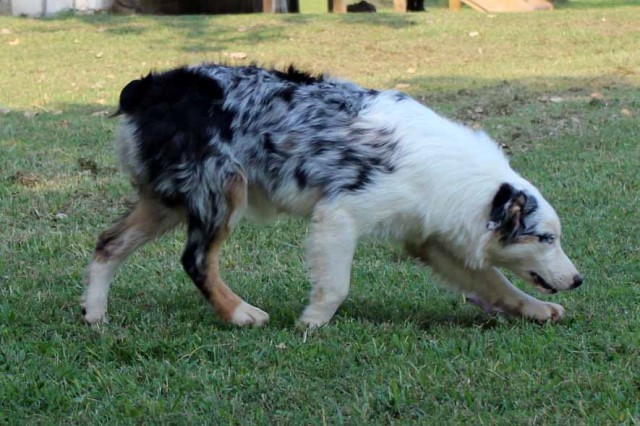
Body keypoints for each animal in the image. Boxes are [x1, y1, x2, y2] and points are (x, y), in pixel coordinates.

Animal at [82, 65, 584, 328]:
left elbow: (496, 284)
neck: (460, 176)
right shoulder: (340, 214)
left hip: (166, 202)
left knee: (108, 244)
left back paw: (95, 313)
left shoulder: (429, 239)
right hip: (222, 190)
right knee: (197, 260)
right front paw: (311, 322)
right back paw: (241, 313)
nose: (579, 280)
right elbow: (337, 284)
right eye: (545, 238)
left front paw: (536, 309)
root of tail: (148, 87)